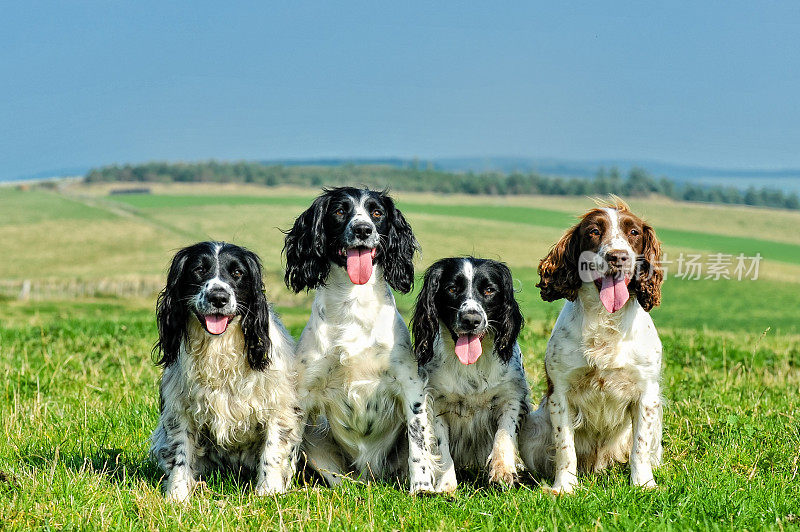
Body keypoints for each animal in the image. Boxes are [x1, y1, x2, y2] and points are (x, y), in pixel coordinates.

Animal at [149, 243, 300, 500]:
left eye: (238, 273)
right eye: (199, 269)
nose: (218, 297)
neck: (218, 346)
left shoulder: (278, 406)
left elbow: (272, 451)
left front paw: (268, 493)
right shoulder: (180, 410)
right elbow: (180, 454)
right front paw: (177, 496)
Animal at [282, 188, 438, 494]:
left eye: (377, 212)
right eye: (339, 211)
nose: (363, 229)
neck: (352, 302)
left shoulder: (410, 383)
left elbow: (418, 444)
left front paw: (422, 487)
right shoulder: (303, 391)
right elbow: (287, 446)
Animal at [412, 256, 532, 492]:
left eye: (489, 290)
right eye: (451, 289)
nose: (471, 319)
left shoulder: (511, 397)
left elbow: (503, 434)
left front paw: (503, 471)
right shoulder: (435, 403)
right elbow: (441, 446)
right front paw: (447, 485)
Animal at [520, 198, 664, 494]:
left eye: (634, 233)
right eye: (594, 231)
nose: (617, 257)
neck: (605, 318)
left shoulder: (647, 393)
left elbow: (640, 448)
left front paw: (643, 484)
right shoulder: (560, 393)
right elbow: (565, 447)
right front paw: (565, 486)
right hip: (533, 430)